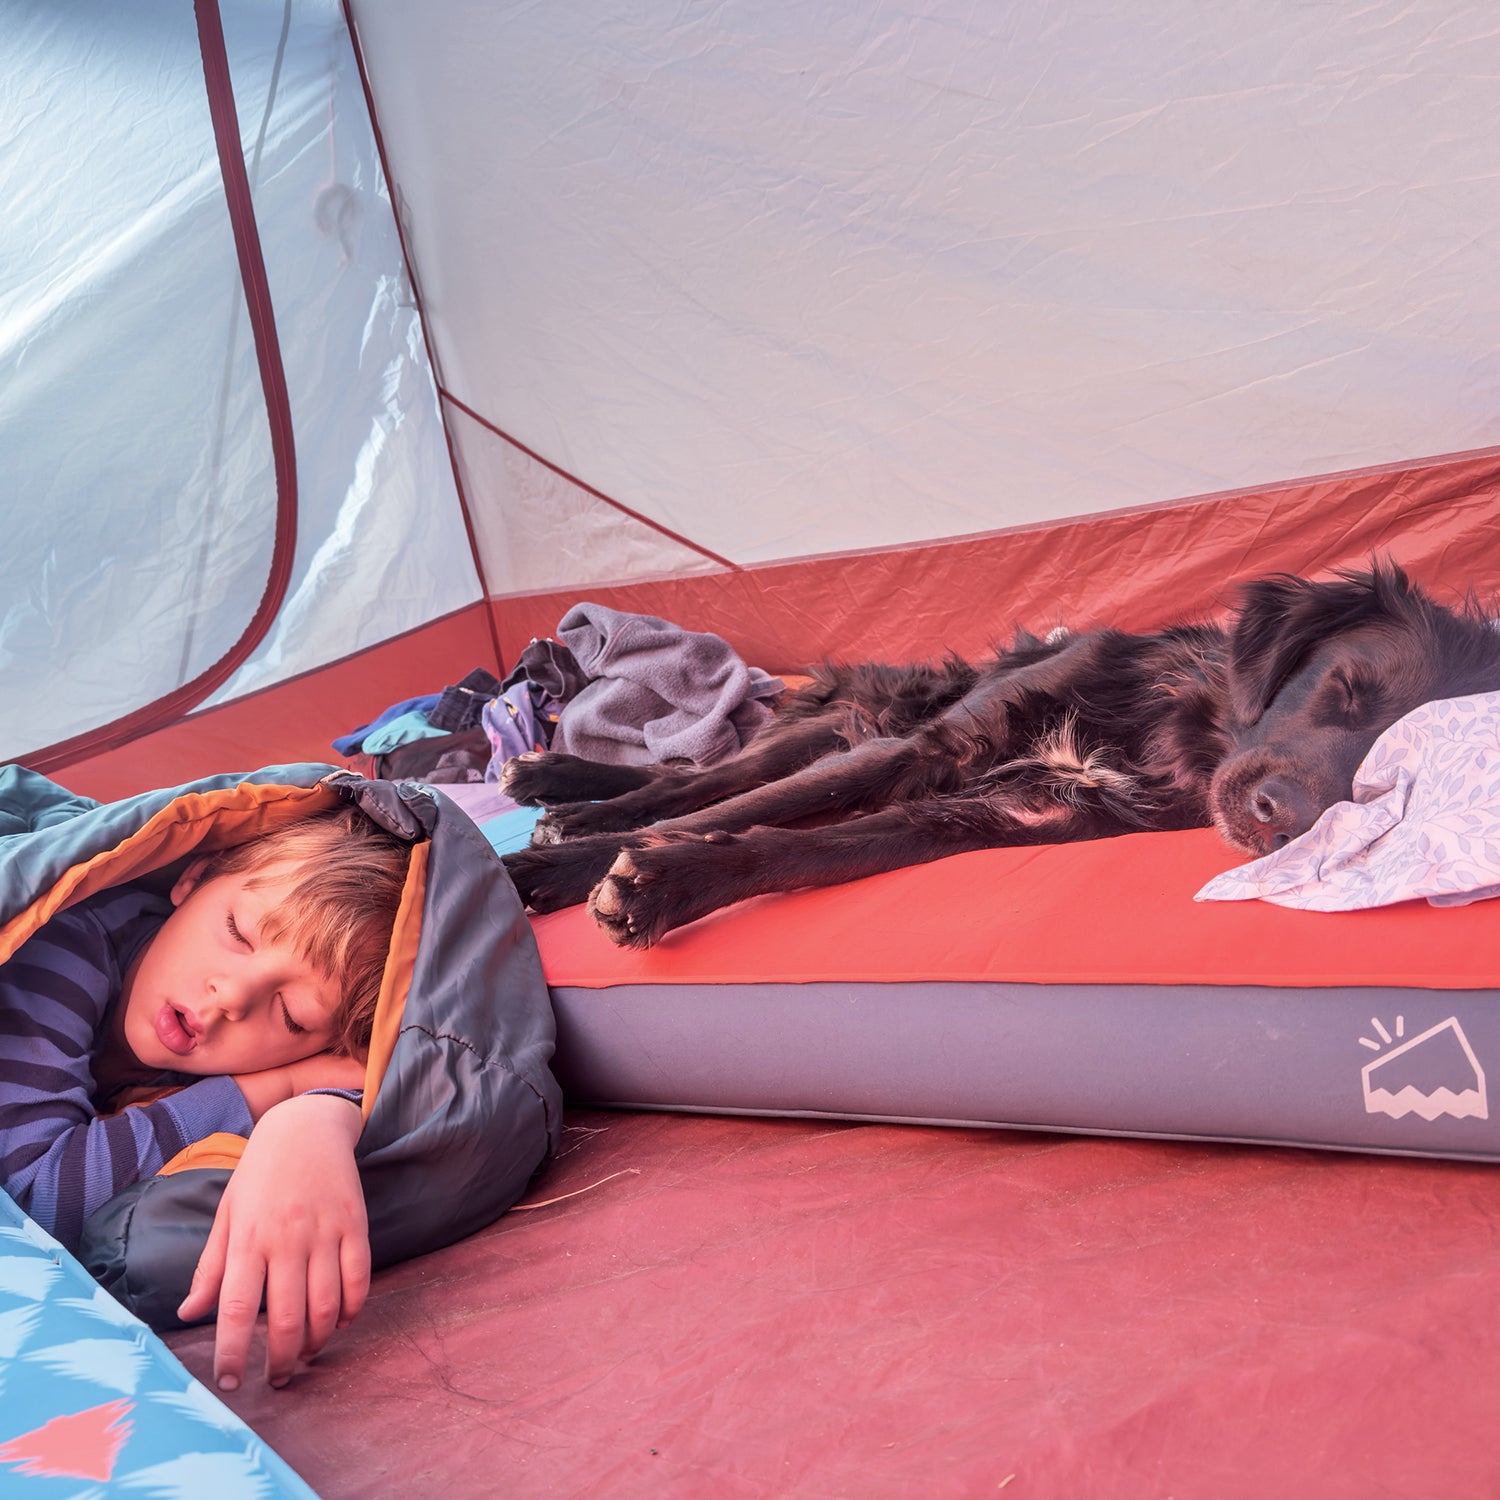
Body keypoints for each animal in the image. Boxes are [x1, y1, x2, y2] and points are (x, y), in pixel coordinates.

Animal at [501, 564, 1500, 948]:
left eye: (1384, 787)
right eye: (1345, 692)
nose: (1279, 821)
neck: (1173, 734)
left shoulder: (998, 811)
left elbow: (804, 848)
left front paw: (665, 887)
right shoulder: (940, 743)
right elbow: (726, 811)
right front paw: (550, 873)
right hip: (868, 720)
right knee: (713, 775)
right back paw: (560, 795)